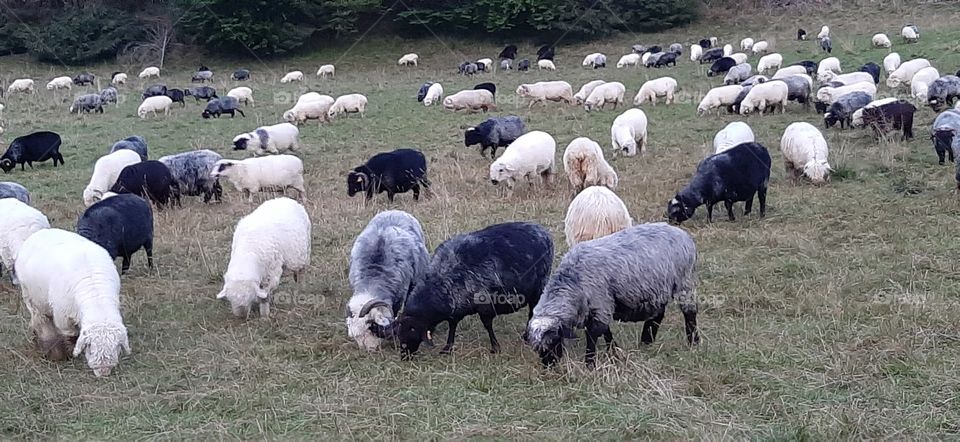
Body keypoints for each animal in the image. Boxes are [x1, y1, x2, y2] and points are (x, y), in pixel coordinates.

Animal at [16, 229, 129, 376]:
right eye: (90, 347)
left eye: (116, 347)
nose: (103, 371)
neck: (95, 295)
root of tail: (41, 231)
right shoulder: (63, 319)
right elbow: (72, 336)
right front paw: (70, 353)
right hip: (31, 297)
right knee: (41, 320)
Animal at [382, 222, 553, 357]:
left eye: (411, 331)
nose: (405, 356)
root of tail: (543, 231)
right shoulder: (456, 307)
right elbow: (452, 325)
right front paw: (447, 348)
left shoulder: (485, 306)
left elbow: (487, 326)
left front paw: (495, 348)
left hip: (539, 286)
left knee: (532, 311)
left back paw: (526, 336)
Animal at [527, 222, 697, 368]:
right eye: (537, 349)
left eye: (554, 341)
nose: (549, 366)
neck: (573, 281)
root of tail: (682, 234)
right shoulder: (597, 309)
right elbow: (606, 331)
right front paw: (613, 350)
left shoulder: (601, 304)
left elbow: (594, 334)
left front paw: (590, 363)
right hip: (657, 290)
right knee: (658, 315)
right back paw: (646, 341)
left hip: (684, 282)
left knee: (689, 312)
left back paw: (693, 341)